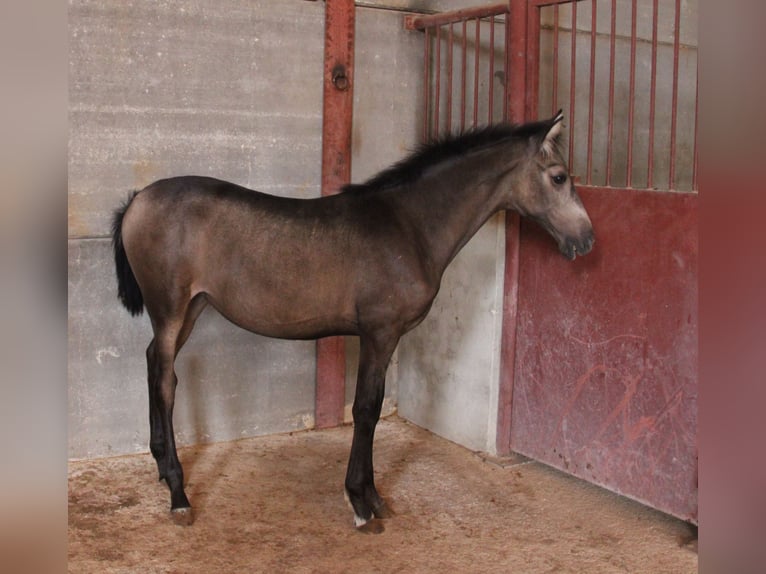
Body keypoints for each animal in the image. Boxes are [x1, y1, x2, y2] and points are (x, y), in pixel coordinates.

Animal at [111, 112, 596, 536]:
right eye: (558, 177)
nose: (587, 239)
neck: (409, 226)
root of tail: (137, 199)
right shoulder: (379, 334)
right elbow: (366, 409)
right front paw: (360, 503)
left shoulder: (387, 337)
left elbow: (374, 408)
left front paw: (376, 497)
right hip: (170, 309)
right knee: (166, 380)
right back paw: (179, 495)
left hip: (191, 309)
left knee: (155, 364)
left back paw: (161, 467)